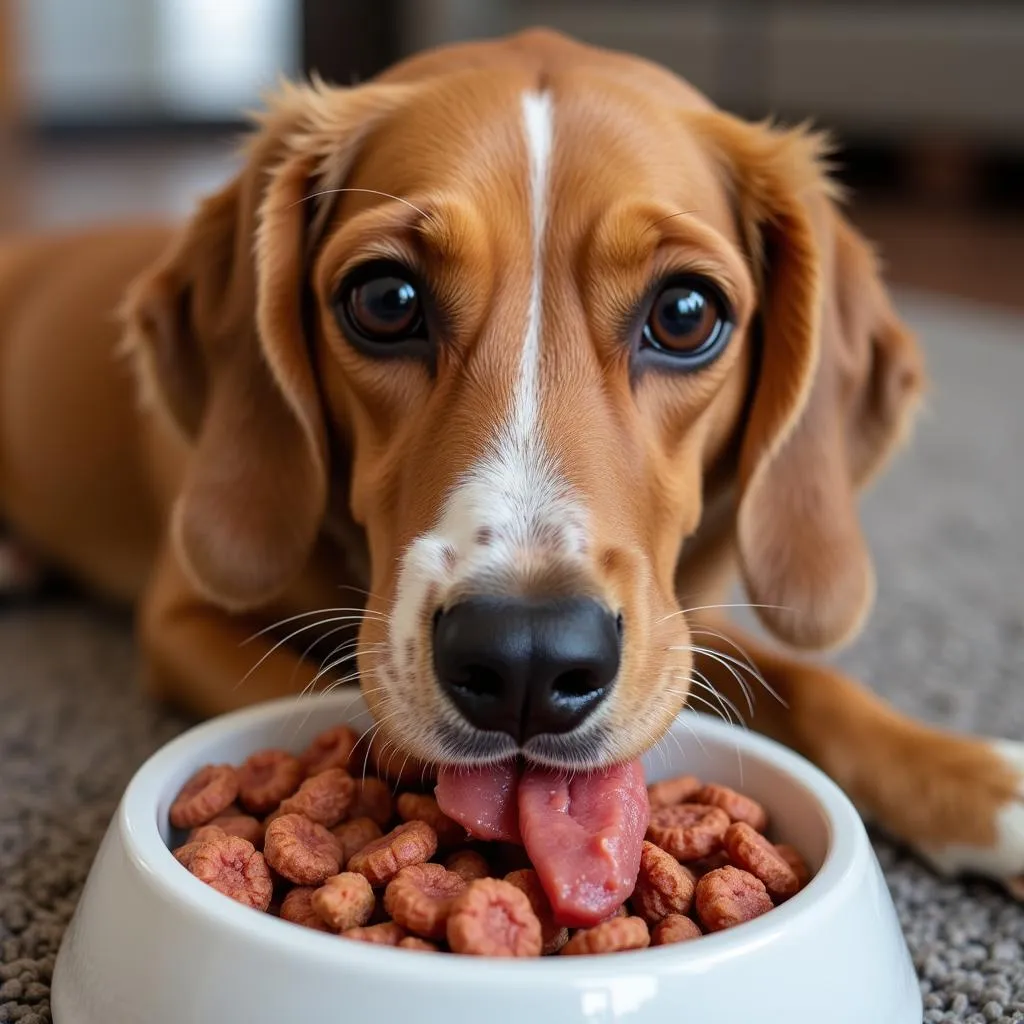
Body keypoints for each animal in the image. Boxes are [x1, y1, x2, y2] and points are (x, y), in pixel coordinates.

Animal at [0, 29, 1019, 897]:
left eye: (686, 314)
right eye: (385, 299)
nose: (530, 655)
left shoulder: (675, 623)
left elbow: (812, 685)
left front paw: (979, 784)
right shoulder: (181, 620)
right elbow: (346, 707)